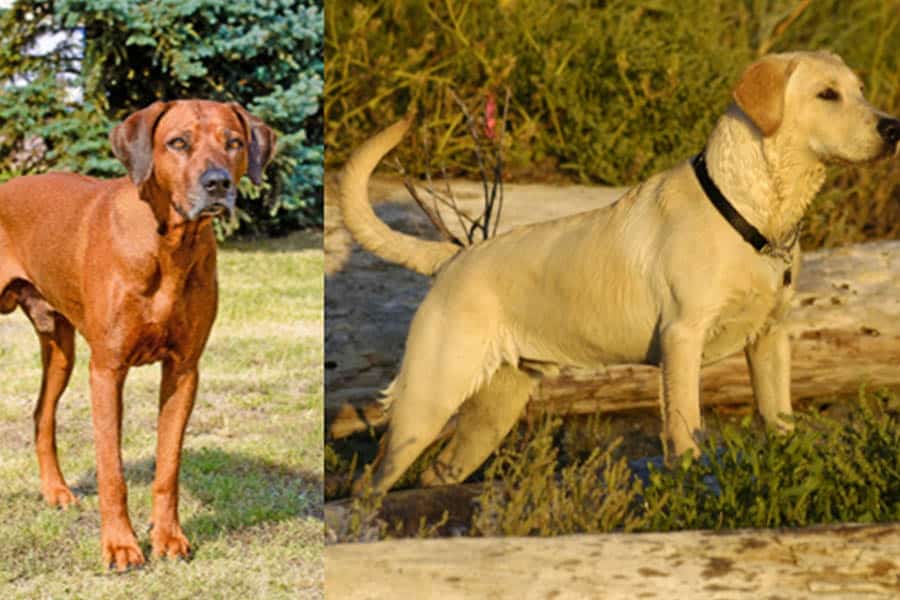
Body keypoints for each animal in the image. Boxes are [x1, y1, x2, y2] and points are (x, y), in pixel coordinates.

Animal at [0, 101, 276, 568]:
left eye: (234, 142)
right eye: (178, 142)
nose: (218, 183)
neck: (169, 245)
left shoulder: (184, 370)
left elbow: (168, 467)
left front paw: (168, 538)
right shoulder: (107, 370)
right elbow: (112, 471)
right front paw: (120, 545)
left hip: (60, 347)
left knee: (42, 414)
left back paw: (55, 491)